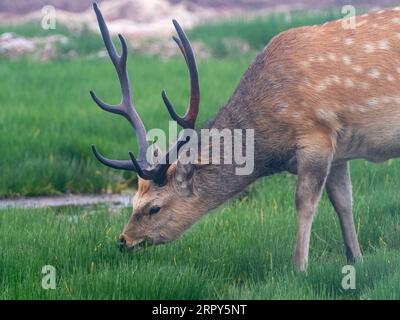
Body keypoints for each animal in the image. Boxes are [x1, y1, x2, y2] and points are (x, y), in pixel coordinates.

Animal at [89, 3, 400, 272]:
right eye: (132, 201)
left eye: (154, 208)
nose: (123, 240)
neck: (271, 146)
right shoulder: (339, 150)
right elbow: (344, 202)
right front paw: (356, 258)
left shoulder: (317, 135)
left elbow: (305, 203)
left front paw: (299, 267)